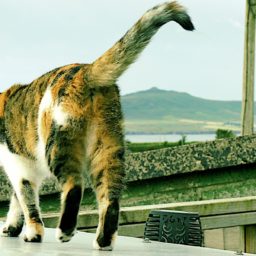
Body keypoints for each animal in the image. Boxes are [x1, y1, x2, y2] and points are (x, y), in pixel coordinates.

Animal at [0, 1, 193, 251]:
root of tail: (87, 70)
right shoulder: (24, 168)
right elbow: (18, 201)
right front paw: (12, 228)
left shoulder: (18, 165)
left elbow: (27, 202)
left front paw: (33, 234)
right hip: (108, 147)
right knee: (110, 197)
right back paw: (103, 241)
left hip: (58, 143)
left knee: (74, 185)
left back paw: (65, 232)